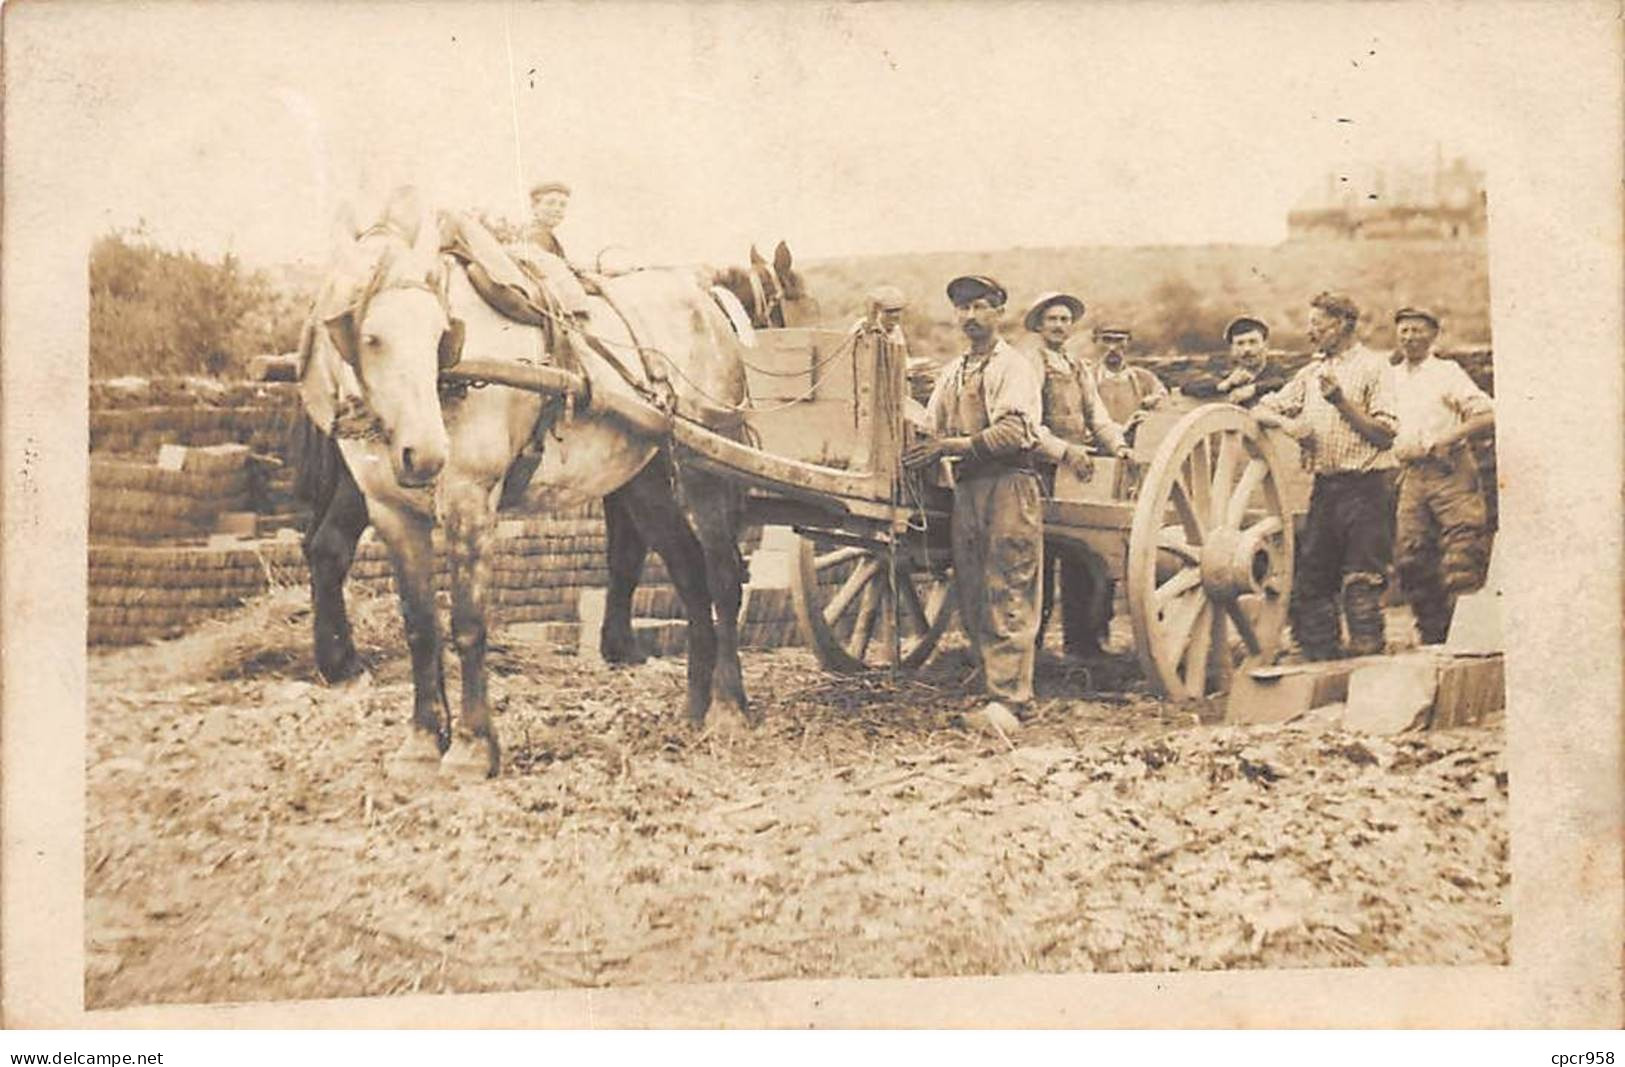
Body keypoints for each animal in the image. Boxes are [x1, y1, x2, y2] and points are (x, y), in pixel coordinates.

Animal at [294, 187, 754, 779]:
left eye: (440, 333)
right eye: (369, 337)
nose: (425, 454)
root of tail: (703, 297)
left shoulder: (469, 499)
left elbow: (468, 622)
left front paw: (472, 748)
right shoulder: (390, 510)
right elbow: (419, 625)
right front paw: (420, 743)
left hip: (704, 471)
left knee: (722, 577)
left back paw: (729, 708)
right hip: (646, 480)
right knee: (691, 576)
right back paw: (695, 708)